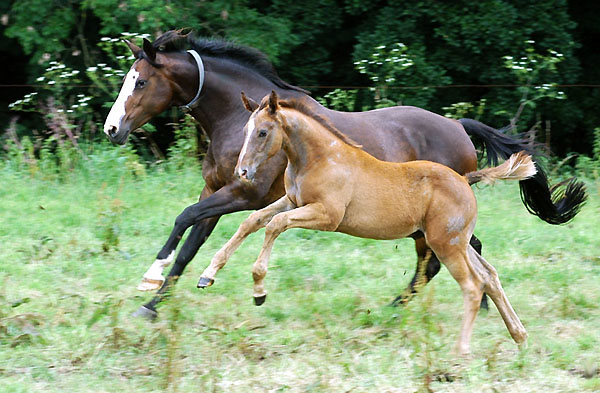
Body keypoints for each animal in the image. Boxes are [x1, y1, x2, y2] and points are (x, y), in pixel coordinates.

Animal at [102, 30, 584, 318]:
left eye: (139, 82)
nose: (112, 129)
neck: (238, 120)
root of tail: (458, 127)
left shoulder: (244, 193)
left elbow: (183, 218)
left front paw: (150, 277)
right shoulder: (218, 192)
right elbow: (190, 244)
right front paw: (154, 303)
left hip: (425, 220)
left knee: (439, 258)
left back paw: (405, 307)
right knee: (461, 251)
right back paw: (472, 305)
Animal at [198, 91, 536, 352]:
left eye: (263, 132)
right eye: (245, 131)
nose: (242, 172)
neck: (320, 159)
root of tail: (466, 179)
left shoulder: (326, 215)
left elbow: (274, 225)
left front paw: (259, 290)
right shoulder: (292, 201)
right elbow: (253, 220)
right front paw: (207, 275)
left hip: (445, 244)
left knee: (472, 286)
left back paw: (461, 350)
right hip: (458, 242)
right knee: (490, 276)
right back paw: (519, 337)